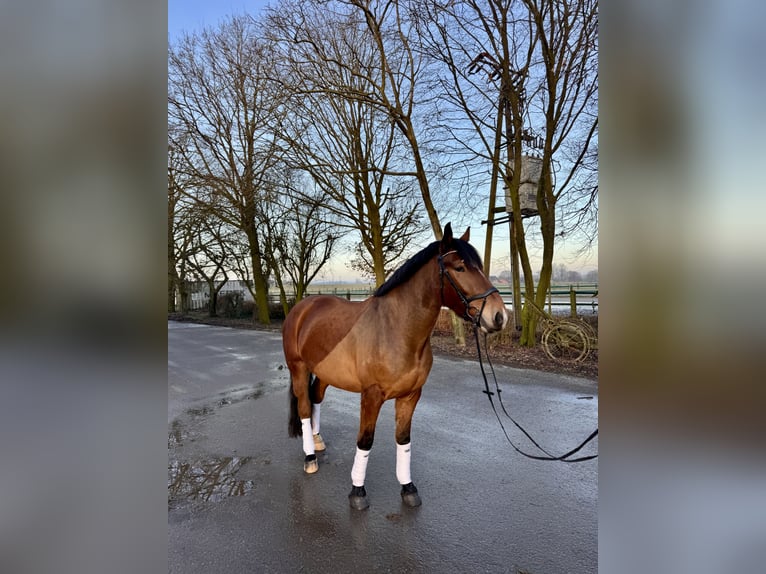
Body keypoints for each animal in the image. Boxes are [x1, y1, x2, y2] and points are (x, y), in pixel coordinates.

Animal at [282, 225, 510, 512]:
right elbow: (365, 440)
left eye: (479, 267)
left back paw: (318, 440)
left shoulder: (411, 395)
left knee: (316, 398)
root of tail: (302, 307)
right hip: (298, 369)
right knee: (303, 406)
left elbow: (403, 440)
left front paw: (408, 488)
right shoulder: (371, 396)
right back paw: (310, 456)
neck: (396, 331)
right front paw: (357, 491)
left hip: (324, 372)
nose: (499, 316)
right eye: (459, 267)